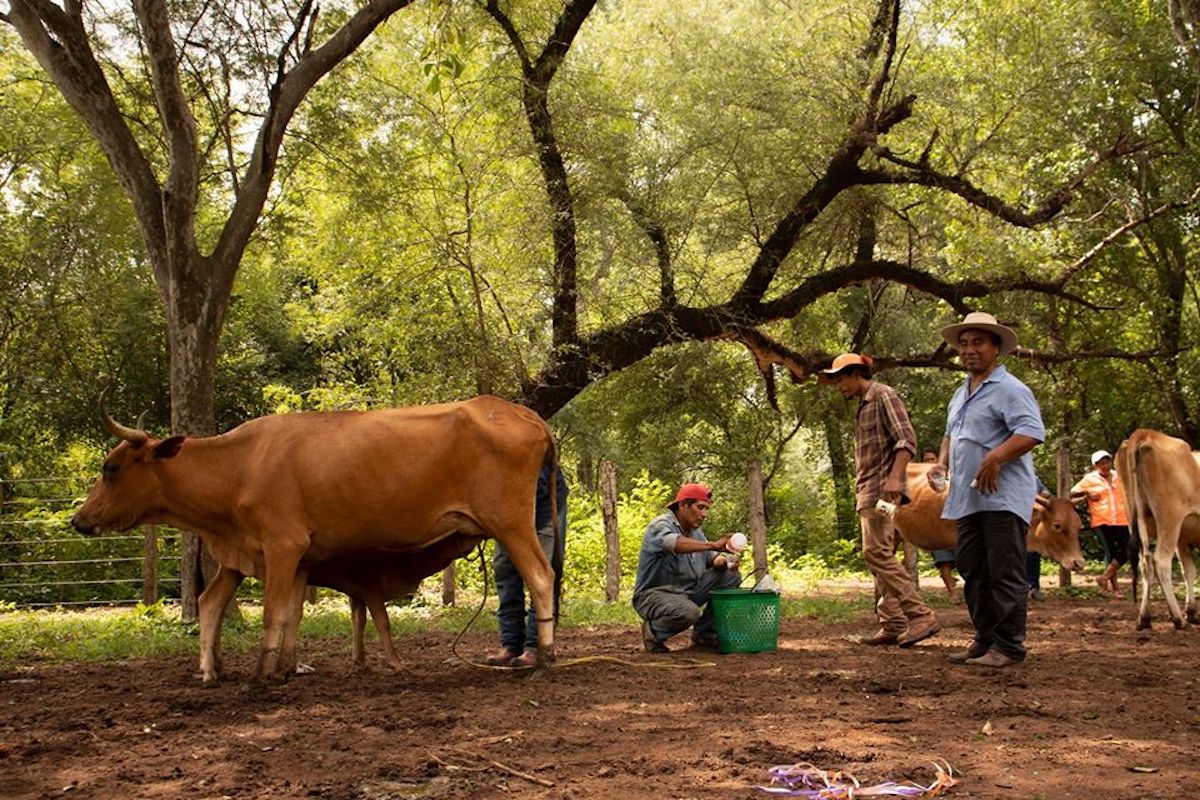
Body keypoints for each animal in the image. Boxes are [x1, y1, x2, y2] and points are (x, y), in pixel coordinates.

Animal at [72, 393, 559, 681]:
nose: (79, 520)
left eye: (110, 467)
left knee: (541, 576)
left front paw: (262, 675)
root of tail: (524, 414)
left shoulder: (283, 546)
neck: (240, 465)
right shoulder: (289, 556)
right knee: (209, 602)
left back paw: (546, 655)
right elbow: (291, 614)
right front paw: (284, 669)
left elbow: (274, 613)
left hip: (510, 522)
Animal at [1113, 429, 1200, 628]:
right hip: (1169, 520)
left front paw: (1192, 612)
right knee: (1161, 561)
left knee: (1145, 561)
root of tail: (1145, 434)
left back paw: (1145, 617)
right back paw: (1177, 618)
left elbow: (1189, 571)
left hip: (1137, 518)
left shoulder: (1182, 539)